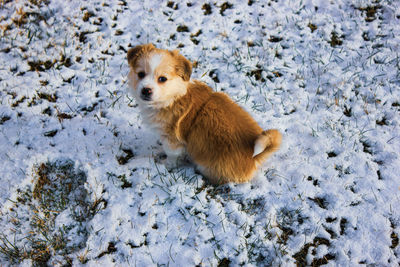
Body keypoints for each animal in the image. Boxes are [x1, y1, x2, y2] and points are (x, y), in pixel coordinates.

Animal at [127, 44, 282, 185]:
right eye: (140, 74)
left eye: (162, 79)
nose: (146, 90)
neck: (173, 96)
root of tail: (254, 157)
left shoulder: (172, 139)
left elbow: (172, 155)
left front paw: (166, 165)